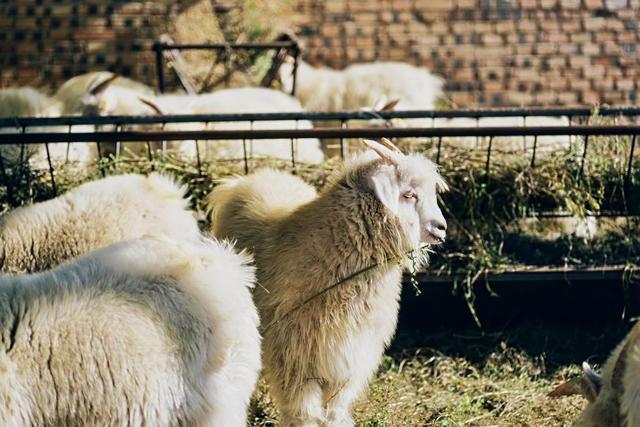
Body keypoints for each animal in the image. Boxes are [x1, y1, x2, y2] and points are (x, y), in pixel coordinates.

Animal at [208, 139, 448, 426]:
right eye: (408, 195)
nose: (441, 227)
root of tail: (244, 180)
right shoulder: (295, 361)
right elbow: (304, 413)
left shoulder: (350, 360)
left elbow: (336, 409)